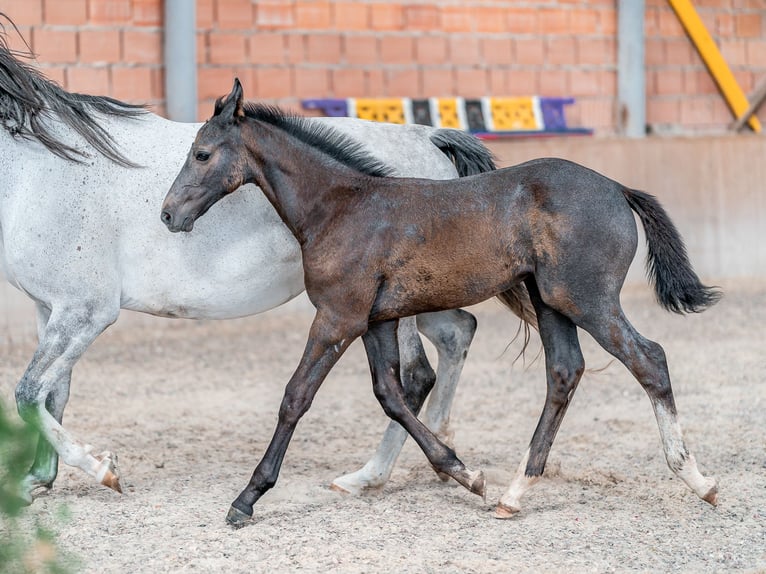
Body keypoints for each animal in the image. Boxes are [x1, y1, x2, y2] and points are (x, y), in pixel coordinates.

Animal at [160, 80, 720, 528]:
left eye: (202, 154)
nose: (168, 214)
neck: (341, 207)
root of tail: (618, 189)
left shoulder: (338, 317)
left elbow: (296, 396)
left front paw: (246, 499)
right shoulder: (376, 320)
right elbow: (391, 392)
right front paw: (464, 473)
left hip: (587, 299)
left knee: (649, 360)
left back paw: (698, 480)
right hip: (551, 302)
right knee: (564, 371)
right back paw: (514, 493)